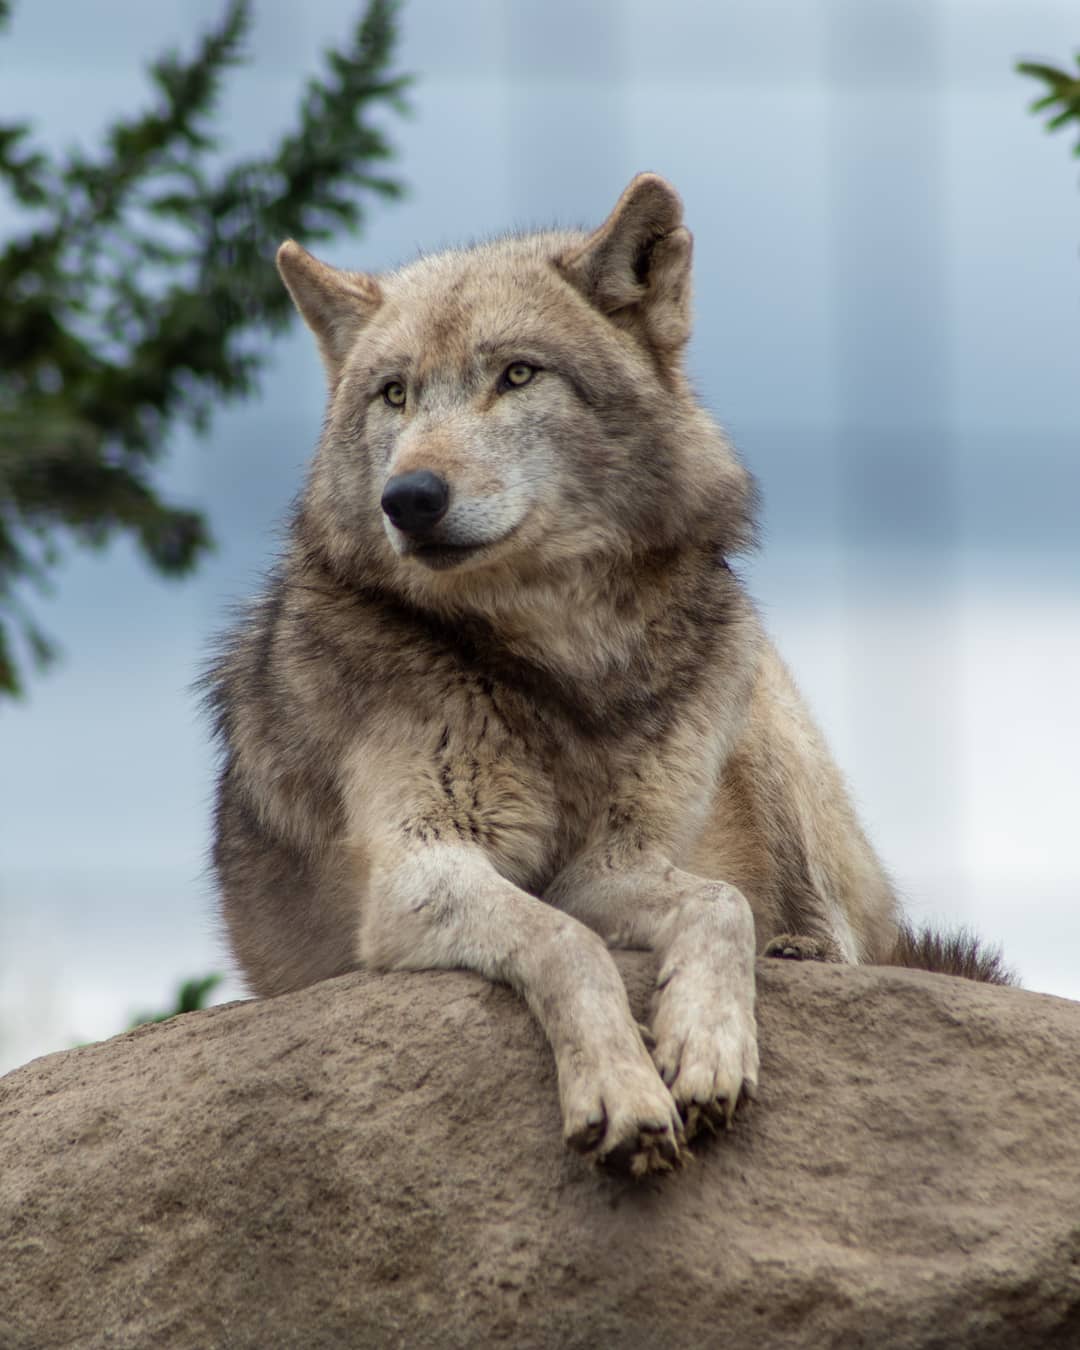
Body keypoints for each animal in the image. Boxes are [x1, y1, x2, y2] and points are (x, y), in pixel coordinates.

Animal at [206, 174, 1005, 1178]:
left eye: (516, 375)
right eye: (394, 394)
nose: (409, 498)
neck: (562, 664)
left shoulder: (618, 859)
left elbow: (719, 905)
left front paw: (707, 1047)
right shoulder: (420, 875)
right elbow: (568, 940)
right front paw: (622, 1094)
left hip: (758, 696)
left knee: (846, 934)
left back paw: (803, 951)